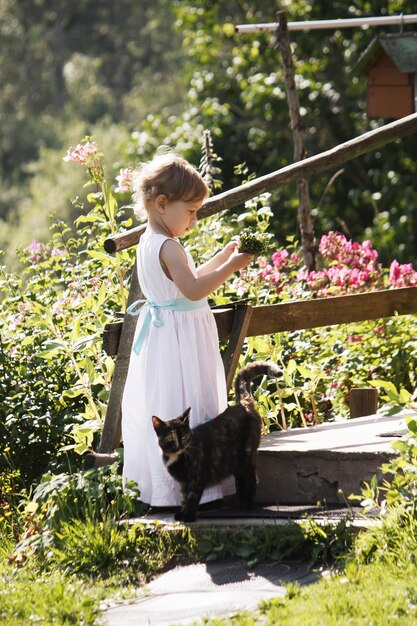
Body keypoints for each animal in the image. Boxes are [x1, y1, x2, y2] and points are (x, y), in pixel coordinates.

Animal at [151, 358, 282, 520]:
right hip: (236, 462)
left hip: (247, 456)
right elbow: (183, 498)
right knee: (242, 481)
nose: (179, 445)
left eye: (184, 435)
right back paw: (242, 504)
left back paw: (248, 505)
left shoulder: (195, 479)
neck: (176, 456)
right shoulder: (183, 483)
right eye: (170, 437)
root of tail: (242, 402)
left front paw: (189, 516)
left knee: (252, 479)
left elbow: (192, 498)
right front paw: (182, 513)